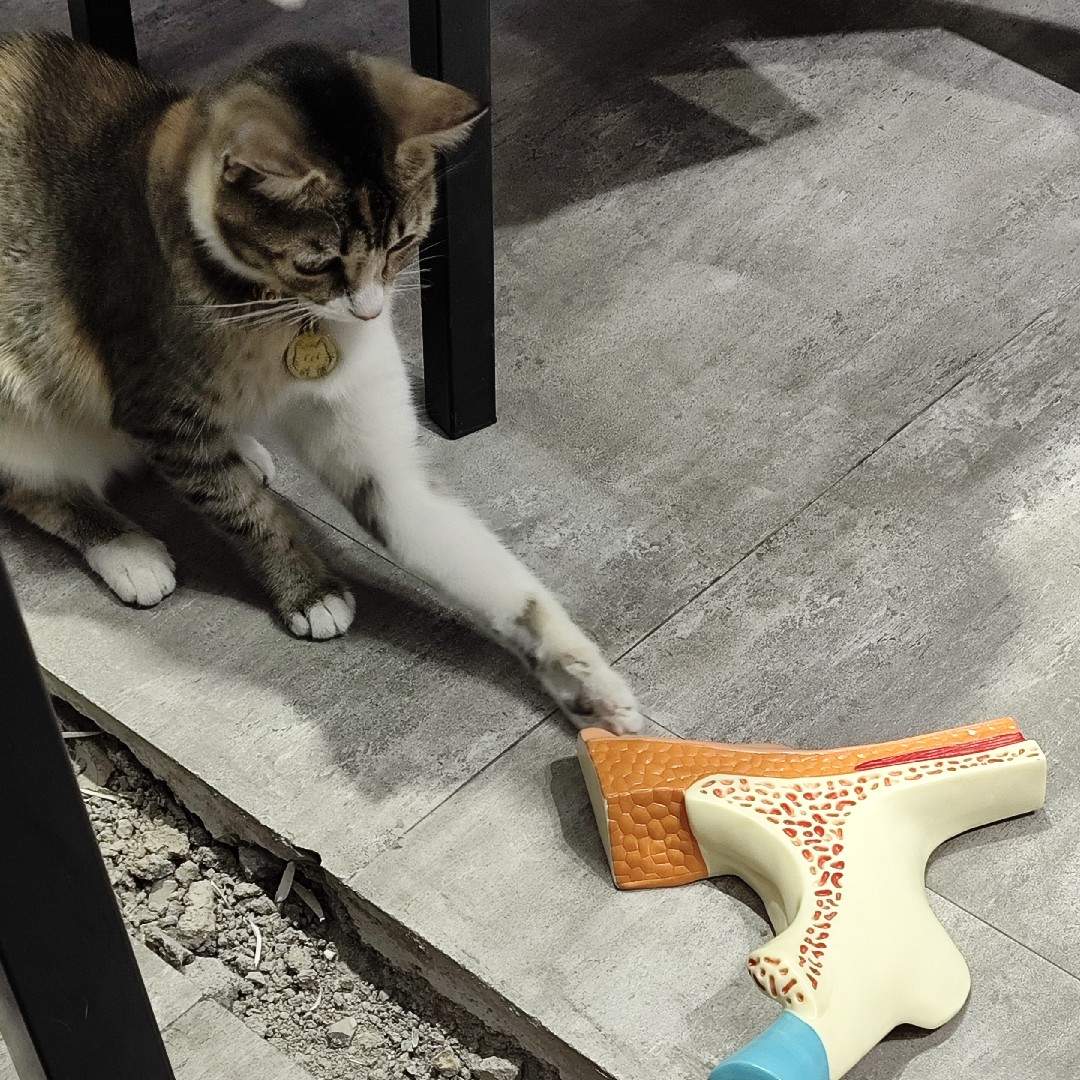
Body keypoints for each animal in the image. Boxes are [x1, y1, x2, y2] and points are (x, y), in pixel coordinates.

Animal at [0, 34, 643, 734]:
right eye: (319, 263)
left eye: (404, 243)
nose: (366, 310)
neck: (283, 315)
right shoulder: (158, 408)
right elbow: (241, 510)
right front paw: (308, 590)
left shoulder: (375, 449)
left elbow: (486, 568)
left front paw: (587, 681)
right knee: (37, 492)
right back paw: (127, 548)